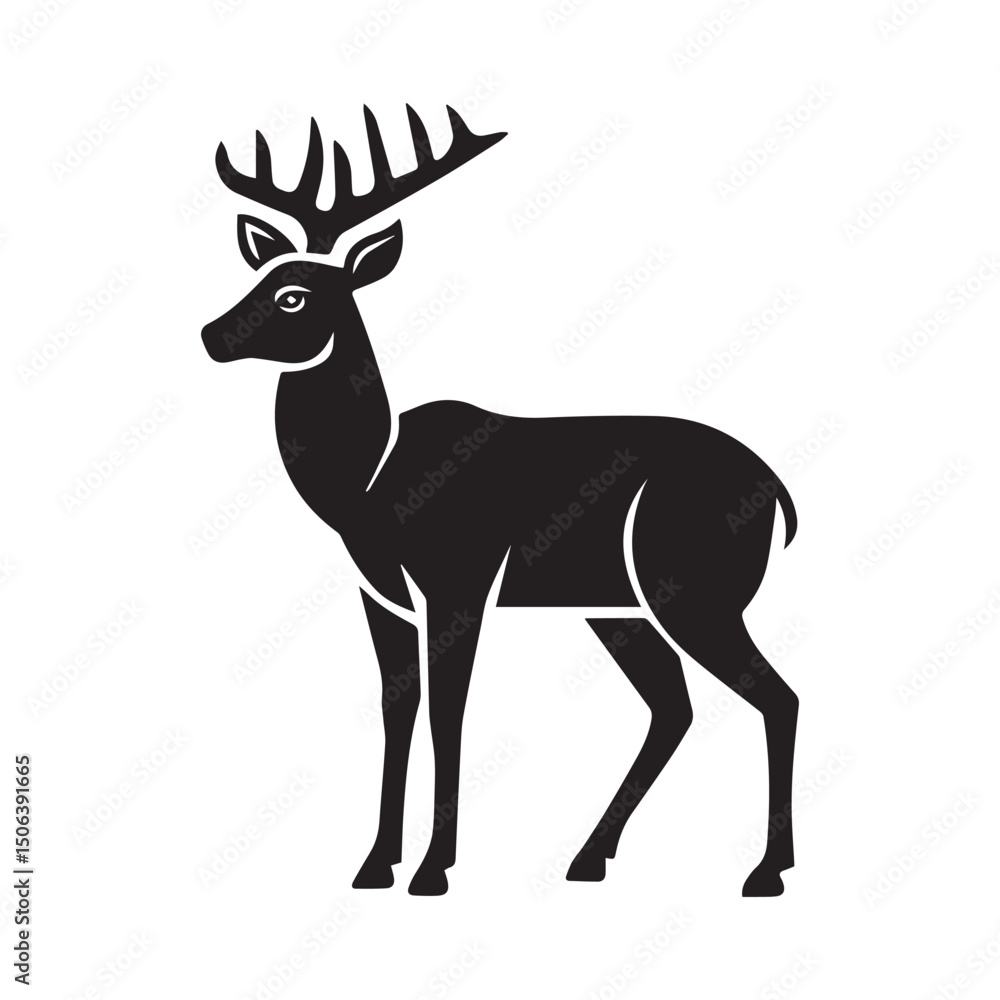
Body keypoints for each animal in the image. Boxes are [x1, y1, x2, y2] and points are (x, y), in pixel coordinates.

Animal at [201, 105, 800, 897]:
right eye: (263, 274)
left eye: (295, 294)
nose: (210, 334)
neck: (374, 481)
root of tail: (780, 493)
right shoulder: (381, 595)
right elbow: (397, 709)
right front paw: (374, 863)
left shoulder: (459, 581)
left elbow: (447, 712)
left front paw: (432, 869)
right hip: (616, 607)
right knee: (674, 707)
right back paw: (588, 858)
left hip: (694, 592)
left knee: (775, 696)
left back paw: (765, 871)